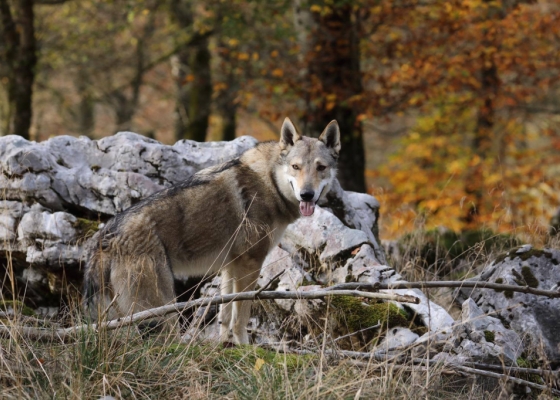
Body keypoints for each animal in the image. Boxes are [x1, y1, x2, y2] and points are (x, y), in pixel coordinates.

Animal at [81, 116, 340, 344]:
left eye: (321, 168)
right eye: (296, 167)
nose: (307, 195)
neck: (270, 182)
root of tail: (104, 238)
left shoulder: (231, 265)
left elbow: (225, 315)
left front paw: (224, 344)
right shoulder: (250, 263)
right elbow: (240, 316)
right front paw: (245, 347)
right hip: (163, 311)